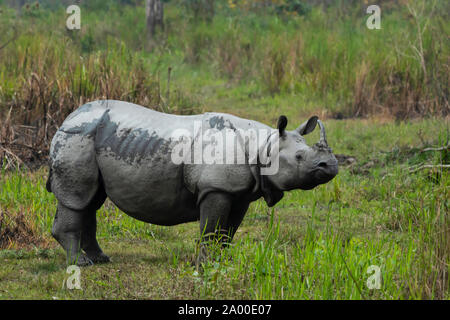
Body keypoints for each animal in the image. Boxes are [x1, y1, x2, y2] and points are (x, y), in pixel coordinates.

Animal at [46, 100, 338, 264]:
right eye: (299, 157)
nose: (332, 165)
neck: (264, 145)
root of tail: (68, 117)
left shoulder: (241, 192)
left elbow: (228, 232)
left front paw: (224, 262)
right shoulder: (215, 188)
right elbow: (211, 229)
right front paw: (206, 266)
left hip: (91, 137)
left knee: (90, 200)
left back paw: (100, 259)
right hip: (77, 138)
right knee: (77, 198)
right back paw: (81, 264)